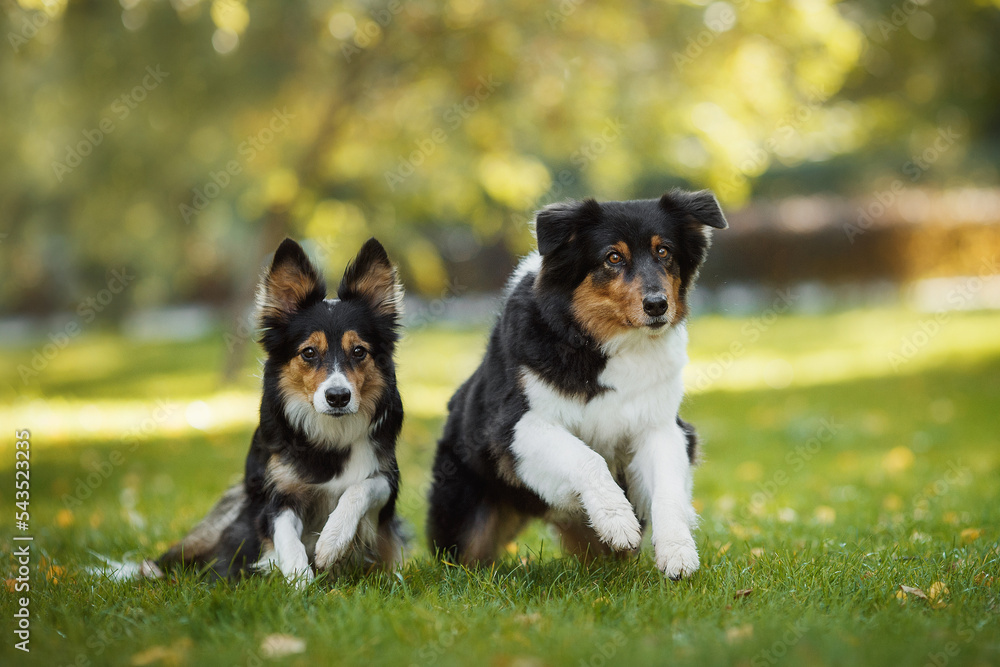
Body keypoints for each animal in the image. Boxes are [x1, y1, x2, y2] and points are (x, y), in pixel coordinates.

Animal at [154, 237, 404, 588]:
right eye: (309, 352)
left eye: (359, 351)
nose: (338, 397)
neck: (331, 435)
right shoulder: (276, 494)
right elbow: (286, 538)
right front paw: (300, 582)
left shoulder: (388, 481)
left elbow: (362, 487)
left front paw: (332, 540)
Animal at [424, 188, 728, 580]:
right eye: (613, 257)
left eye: (664, 251)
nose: (658, 305)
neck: (603, 344)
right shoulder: (516, 426)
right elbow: (587, 458)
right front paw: (617, 520)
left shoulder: (660, 426)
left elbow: (668, 491)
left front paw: (677, 551)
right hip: (464, 520)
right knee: (466, 557)